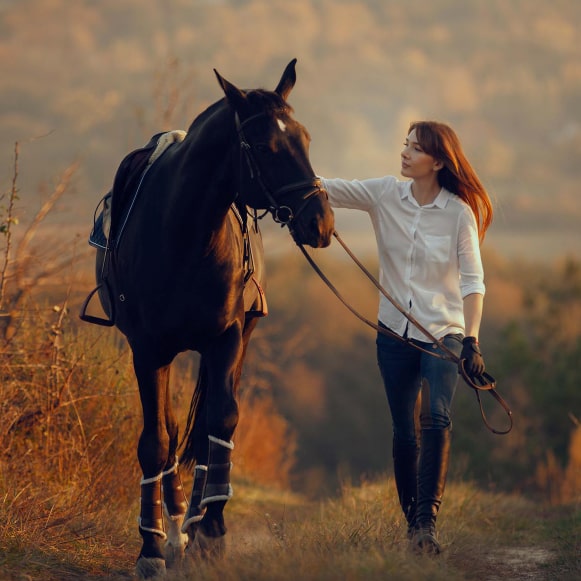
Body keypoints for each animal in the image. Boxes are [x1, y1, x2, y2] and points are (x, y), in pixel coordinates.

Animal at [83, 61, 334, 576]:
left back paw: (196, 522)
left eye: (304, 138)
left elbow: (220, 422)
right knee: (173, 430)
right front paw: (151, 547)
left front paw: (212, 531)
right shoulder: (148, 350)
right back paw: (179, 524)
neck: (183, 234)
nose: (320, 222)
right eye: (264, 146)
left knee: (204, 431)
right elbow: (156, 440)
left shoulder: (227, 340)